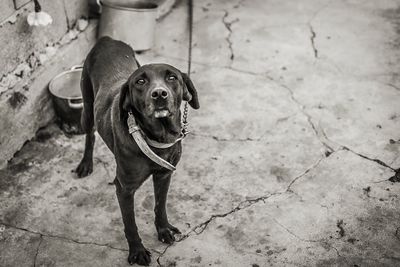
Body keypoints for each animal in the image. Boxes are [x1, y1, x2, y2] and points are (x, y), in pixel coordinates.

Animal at [75, 37, 200, 266]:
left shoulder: (164, 175)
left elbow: (160, 205)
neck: (155, 137)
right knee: (90, 135)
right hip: (87, 109)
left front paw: (164, 230)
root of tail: (107, 39)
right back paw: (86, 164)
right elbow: (130, 224)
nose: (159, 94)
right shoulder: (125, 189)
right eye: (140, 82)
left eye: (172, 77)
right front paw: (137, 251)